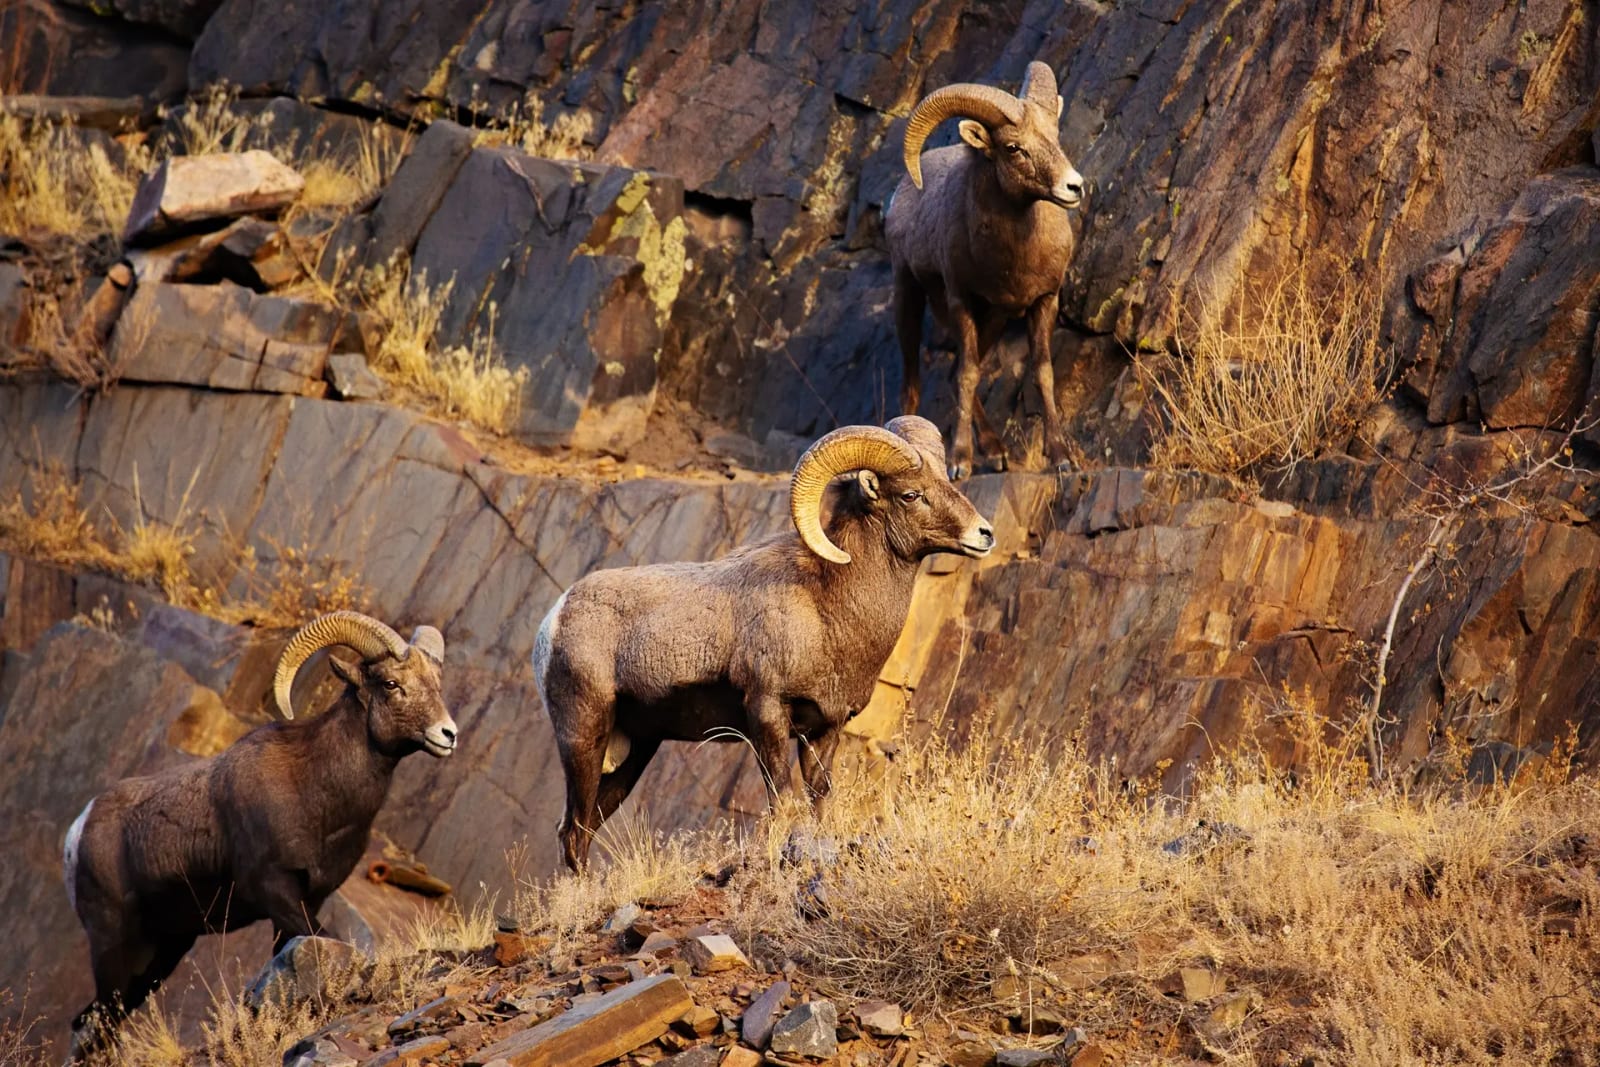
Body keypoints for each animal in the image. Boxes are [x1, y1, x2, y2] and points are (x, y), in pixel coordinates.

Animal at [62, 610, 456, 1057]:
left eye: (436, 683)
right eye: (391, 683)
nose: (448, 734)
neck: (315, 788)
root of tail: (78, 833)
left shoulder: (305, 900)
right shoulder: (276, 891)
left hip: (160, 954)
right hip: (114, 947)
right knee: (97, 1020)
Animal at [533, 415, 993, 870]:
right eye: (911, 494)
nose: (984, 534)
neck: (826, 607)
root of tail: (555, 618)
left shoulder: (825, 728)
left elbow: (819, 801)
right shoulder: (767, 714)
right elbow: (783, 803)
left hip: (636, 749)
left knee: (587, 825)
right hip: (583, 736)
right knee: (572, 830)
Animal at [886, 60, 1086, 480]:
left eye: (1055, 137)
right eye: (1013, 148)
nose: (1073, 187)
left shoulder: (1044, 302)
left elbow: (1041, 372)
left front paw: (1061, 458)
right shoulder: (961, 300)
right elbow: (968, 375)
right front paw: (959, 463)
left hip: (993, 320)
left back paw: (996, 452)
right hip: (909, 295)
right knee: (914, 384)